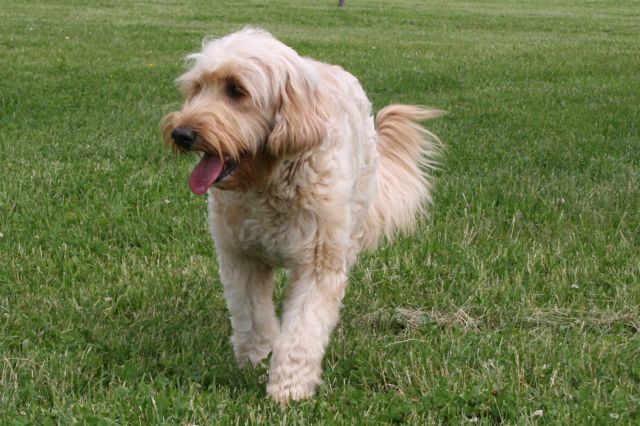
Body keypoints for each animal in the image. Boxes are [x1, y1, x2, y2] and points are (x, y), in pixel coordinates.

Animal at [162, 27, 442, 402]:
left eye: (236, 89)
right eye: (195, 88)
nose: (181, 134)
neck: (269, 181)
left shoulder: (318, 265)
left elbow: (302, 332)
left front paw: (288, 388)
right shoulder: (241, 257)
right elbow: (252, 315)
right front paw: (255, 359)